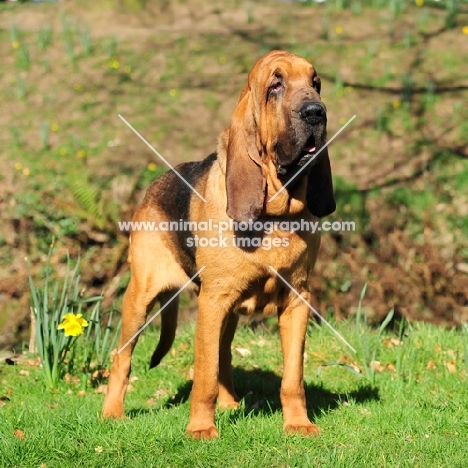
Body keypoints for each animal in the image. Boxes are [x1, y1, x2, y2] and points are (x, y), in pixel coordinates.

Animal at [103, 51, 334, 438]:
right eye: (275, 85)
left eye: (315, 83)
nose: (316, 111)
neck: (275, 217)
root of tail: (153, 186)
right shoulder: (212, 303)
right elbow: (204, 375)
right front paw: (200, 429)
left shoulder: (297, 300)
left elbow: (293, 377)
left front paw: (298, 423)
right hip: (140, 297)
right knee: (123, 357)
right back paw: (111, 413)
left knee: (224, 356)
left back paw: (230, 405)